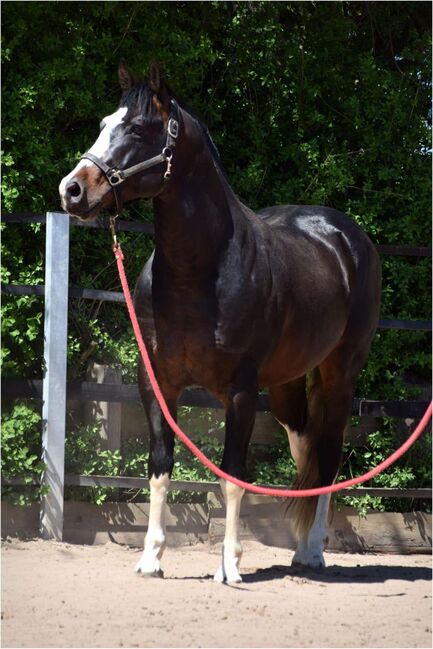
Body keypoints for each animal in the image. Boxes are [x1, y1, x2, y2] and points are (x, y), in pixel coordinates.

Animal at [59, 62, 380, 584]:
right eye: (105, 122)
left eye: (139, 128)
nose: (72, 189)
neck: (199, 272)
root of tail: (345, 235)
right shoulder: (157, 383)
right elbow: (160, 466)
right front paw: (151, 558)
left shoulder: (241, 391)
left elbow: (232, 474)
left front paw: (230, 564)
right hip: (287, 387)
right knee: (306, 452)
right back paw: (299, 547)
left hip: (339, 373)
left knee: (329, 455)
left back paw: (313, 550)